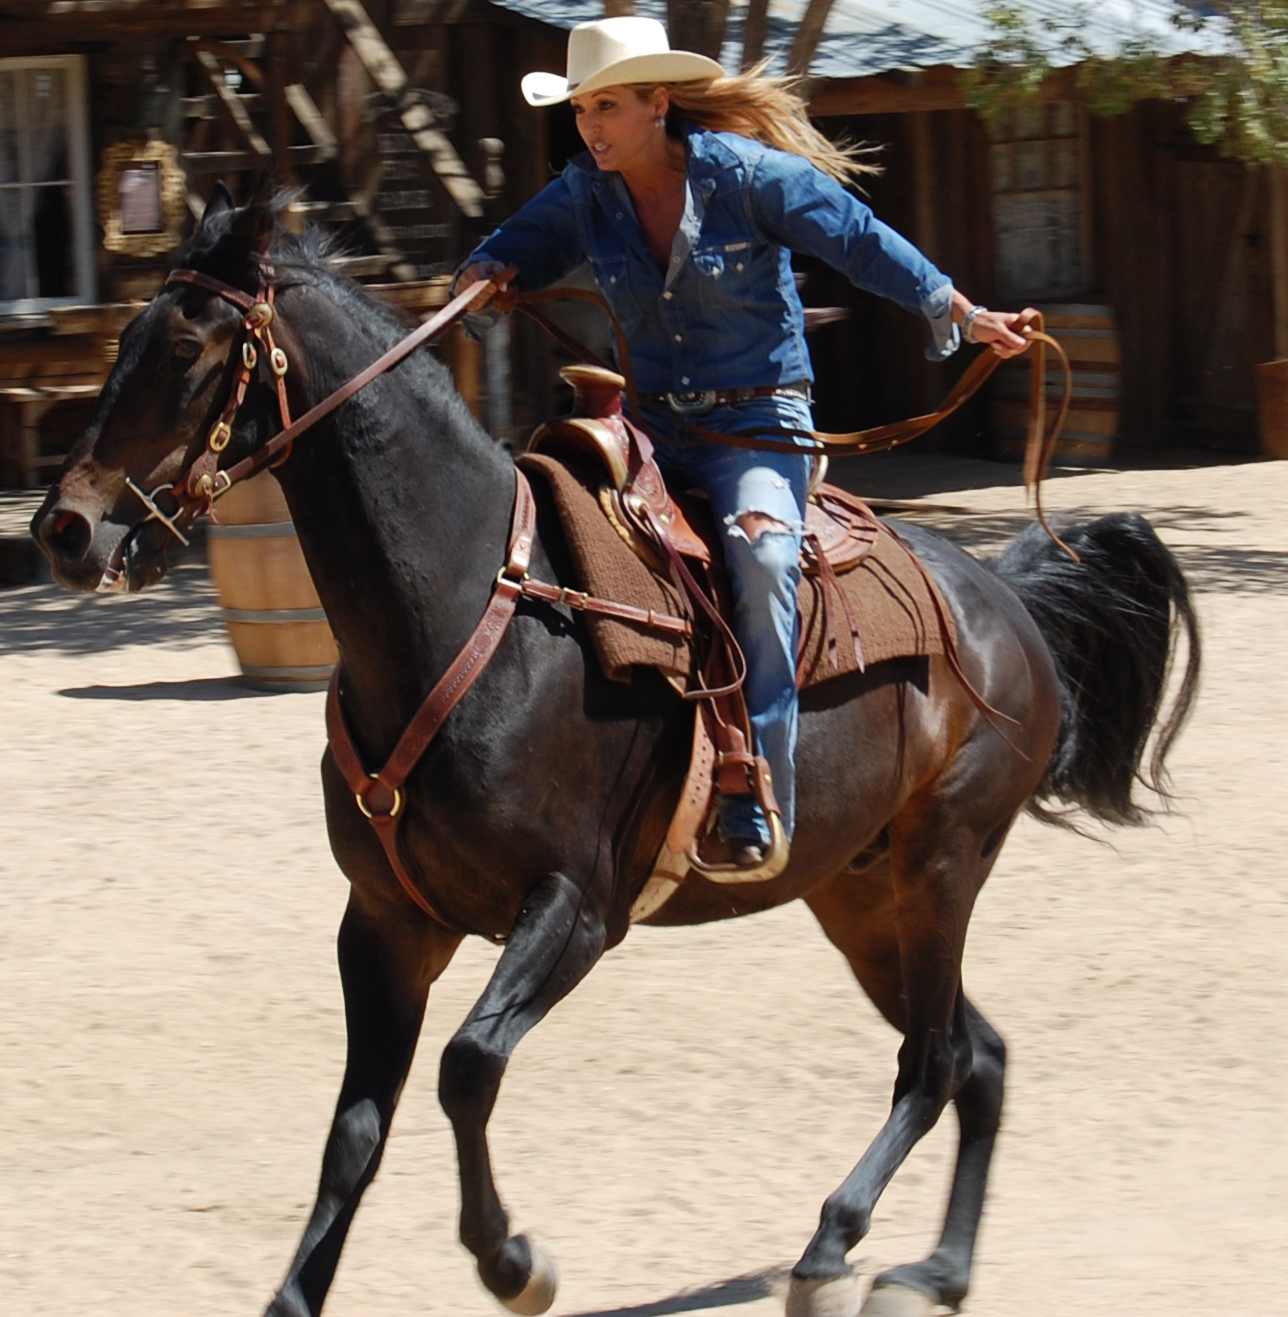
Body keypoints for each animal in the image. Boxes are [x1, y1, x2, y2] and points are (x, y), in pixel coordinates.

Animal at [32, 192, 1195, 1317]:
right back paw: (937, 1270)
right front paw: (299, 1294)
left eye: (187, 347)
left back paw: (831, 1251)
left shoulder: (576, 906)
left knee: (936, 1055)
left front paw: (514, 1261)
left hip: (943, 859)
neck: (469, 609)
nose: (65, 530)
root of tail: (1008, 601)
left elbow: (466, 1065)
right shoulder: (385, 922)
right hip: (861, 897)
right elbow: (355, 1129)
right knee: (977, 1054)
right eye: (123, 338)